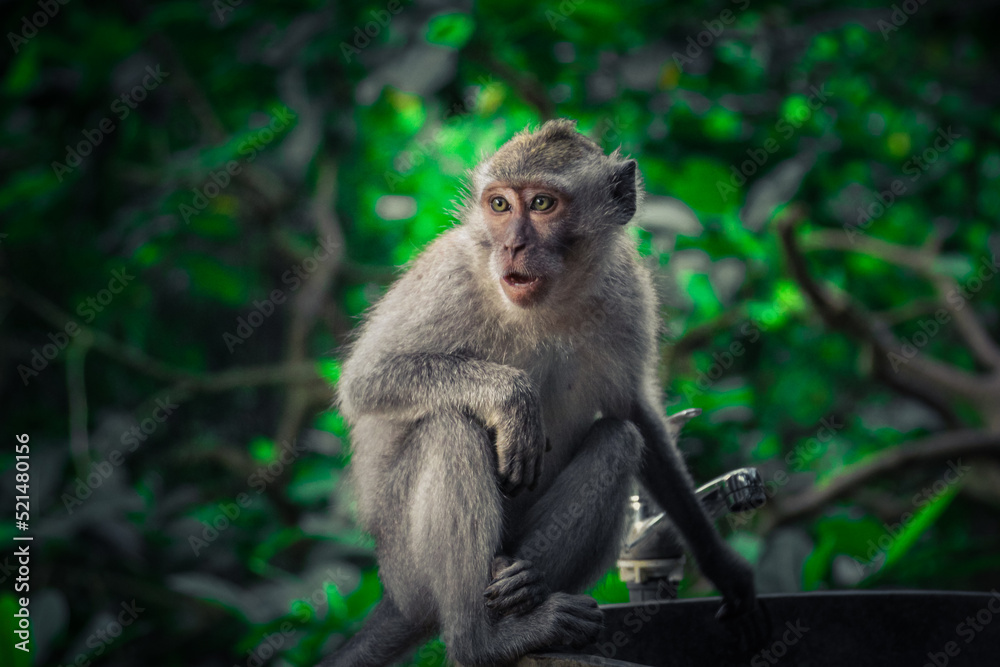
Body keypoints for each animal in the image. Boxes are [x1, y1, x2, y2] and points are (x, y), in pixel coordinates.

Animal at [324, 120, 752, 667]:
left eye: (543, 204)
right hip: (408, 570)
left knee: (618, 439)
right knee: (449, 427)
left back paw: (524, 589)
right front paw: (513, 400)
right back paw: (482, 641)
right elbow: (370, 379)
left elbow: (636, 412)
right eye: (500, 205)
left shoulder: (627, 292)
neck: (550, 301)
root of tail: (396, 601)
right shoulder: (450, 277)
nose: (511, 247)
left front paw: (723, 567)